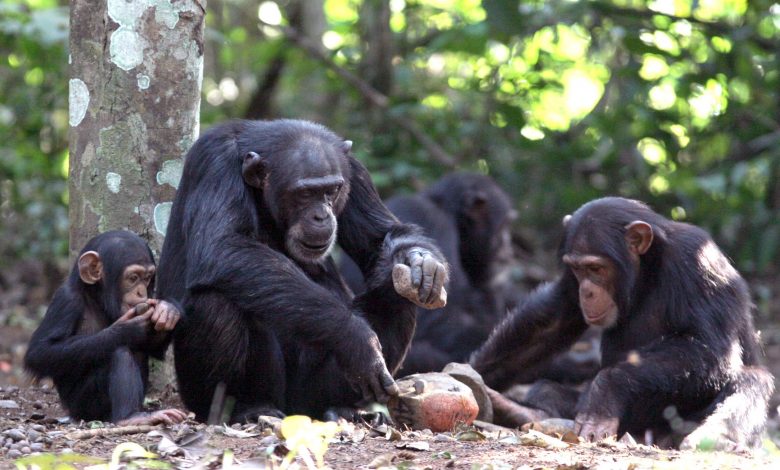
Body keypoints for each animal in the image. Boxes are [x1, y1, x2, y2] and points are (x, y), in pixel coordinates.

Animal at [24, 229, 186, 424]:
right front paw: (126, 330)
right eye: (133, 278)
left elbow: (153, 347)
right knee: (120, 352)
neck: (96, 299)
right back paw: (130, 417)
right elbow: (40, 352)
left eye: (147, 278)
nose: (141, 292)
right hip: (84, 405)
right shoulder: (66, 301)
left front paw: (168, 310)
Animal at [157, 119, 450, 424]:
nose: (321, 215)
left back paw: (344, 408)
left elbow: (381, 238)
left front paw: (423, 262)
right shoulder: (214, 163)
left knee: (396, 291)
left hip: (314, 392)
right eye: (305, 193)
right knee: (215, 302)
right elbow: (222, 246)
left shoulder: (355, 173)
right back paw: (247, 408)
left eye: (332, 190)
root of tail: (294, 411)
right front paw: (358, 338)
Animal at [470, 197, 772, 448]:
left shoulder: (698, 263)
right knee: (546, 388)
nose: (587, 291)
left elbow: (708, 349)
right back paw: (521, 410)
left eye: (596, 268)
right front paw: (471, 372)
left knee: (753, 379)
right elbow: (555, 320)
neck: (647, 271)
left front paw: (606, 391)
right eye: (578, 269)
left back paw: (713, 438)